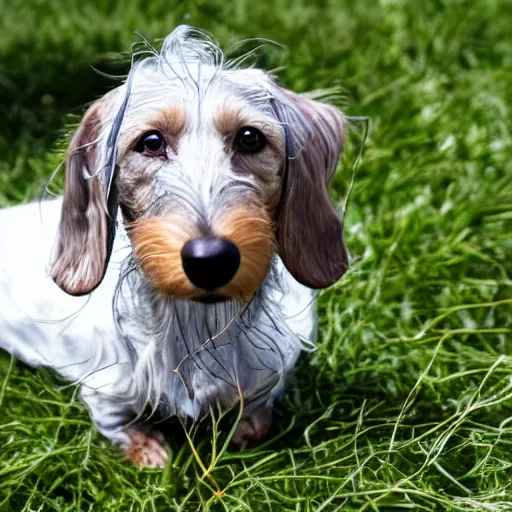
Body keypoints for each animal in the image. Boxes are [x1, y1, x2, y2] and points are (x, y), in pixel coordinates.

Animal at [0, 27, 348, 468]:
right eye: (150, 141)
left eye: (249, 137)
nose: (210, 260)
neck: (197, 334)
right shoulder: (104, 393)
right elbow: (119, 424)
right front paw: (148, 449)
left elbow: (258, 414)